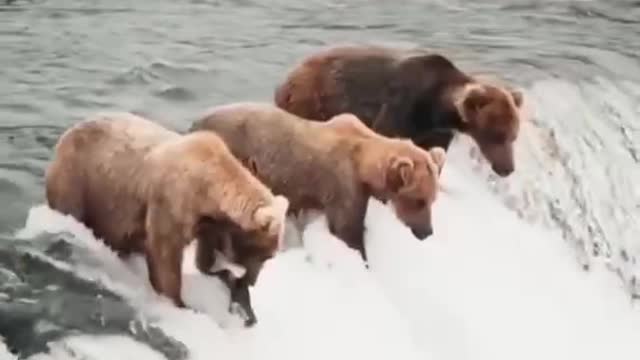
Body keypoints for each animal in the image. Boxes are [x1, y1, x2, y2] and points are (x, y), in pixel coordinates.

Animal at [42, 111, 288, 324]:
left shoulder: (209, 223)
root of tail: (65, 135)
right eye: (264, 256)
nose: (252, 282)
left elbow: (205, 256)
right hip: (80, 182)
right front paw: (180, 302)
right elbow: (165, 254)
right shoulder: (171, 202)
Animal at [188, 102, 442, 266]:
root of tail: (193, 126)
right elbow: (347, 230)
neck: (363, 160)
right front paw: (360, 256)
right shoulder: (343, 185)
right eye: (419, 200)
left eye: (432, 200)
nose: (426, 232)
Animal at [276, 44, 524, 178]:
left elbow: (435, 152)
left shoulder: (436, 131)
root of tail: (288, 78)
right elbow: (387, 134)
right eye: (497, 135)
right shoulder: (402, 104)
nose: (508, 168)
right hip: (315, 100)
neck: (435, 107)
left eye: (513, 136)